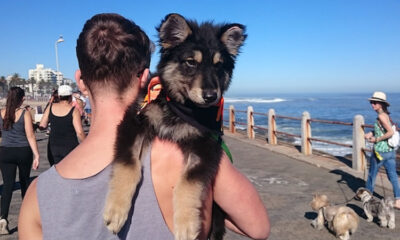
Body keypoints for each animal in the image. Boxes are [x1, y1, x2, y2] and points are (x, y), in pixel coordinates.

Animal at [102, 13, 247, 240]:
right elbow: (129, 164)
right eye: (190, 62)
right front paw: (116, 209)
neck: (180, 108)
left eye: (219, 65)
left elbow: (188, 182)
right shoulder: (133, 121)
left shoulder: (207, 144)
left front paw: (186, 223)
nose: (211, 96)